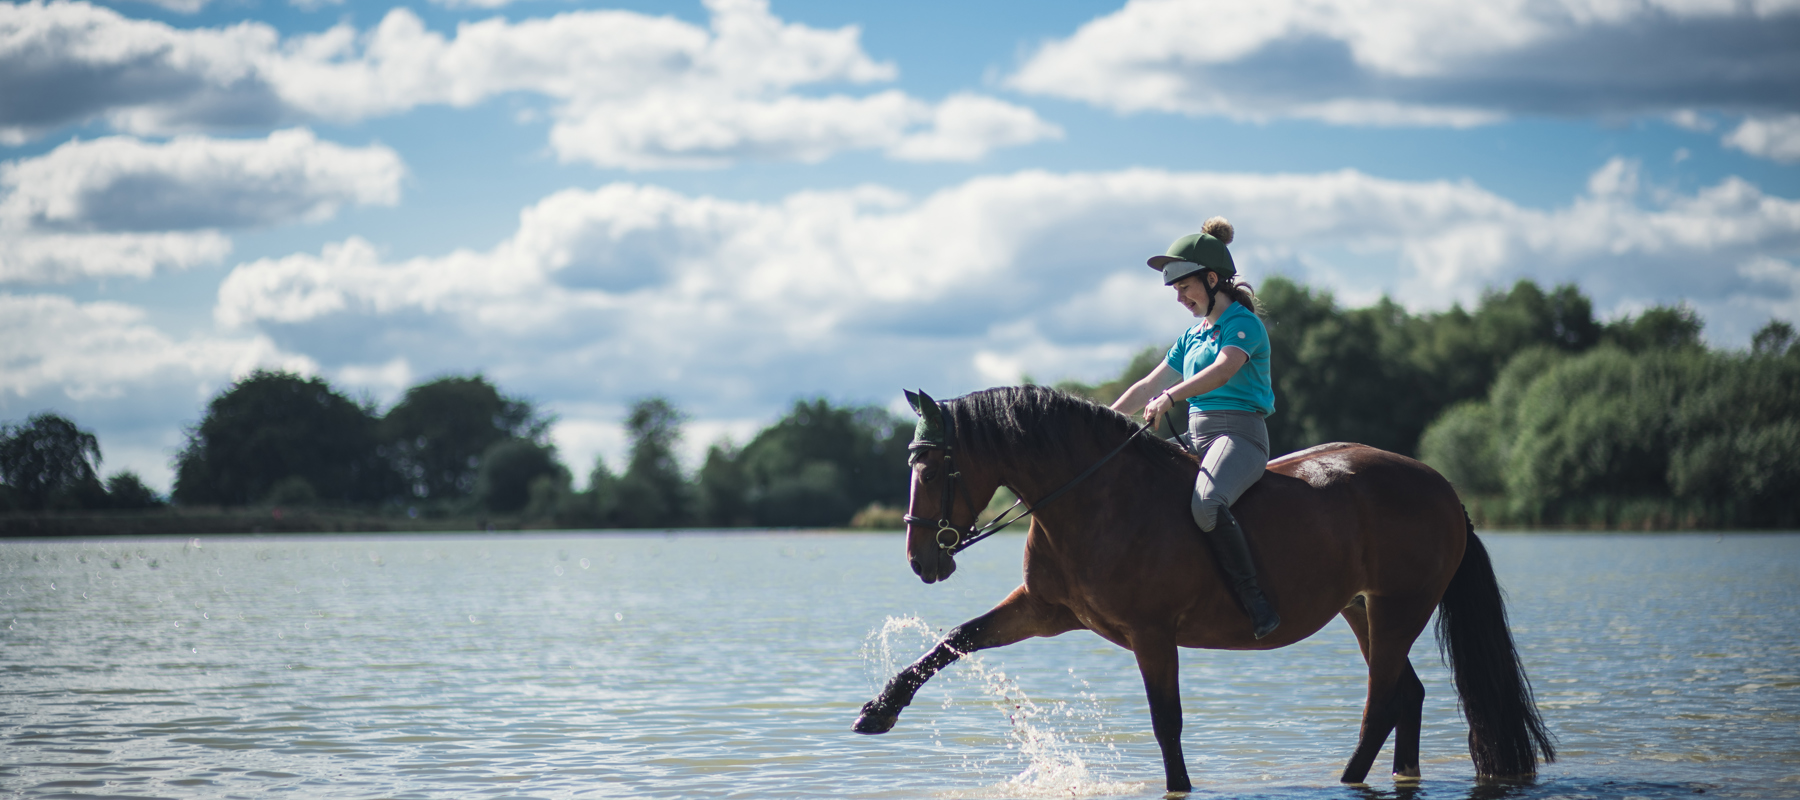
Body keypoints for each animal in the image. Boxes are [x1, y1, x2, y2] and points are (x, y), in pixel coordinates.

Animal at [853, 386, 1554, 793]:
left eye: (934, 468)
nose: (920, 560)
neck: (1092, 498)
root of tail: (1442, 486)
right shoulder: (1045, 610)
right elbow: (956, 640)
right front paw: (880, 709)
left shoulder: (1151, 633)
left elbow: (1167, 722)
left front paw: (1180, 787)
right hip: (1364, 612)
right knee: (1407, 694)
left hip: (1398, 608)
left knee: (1382, 702)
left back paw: (1345, 780)